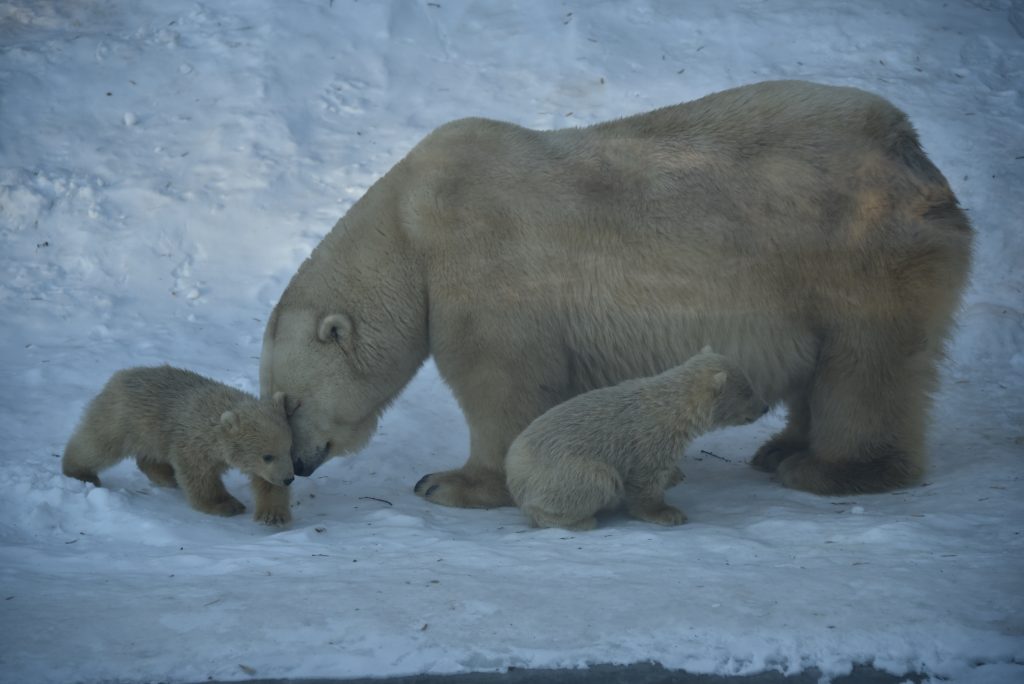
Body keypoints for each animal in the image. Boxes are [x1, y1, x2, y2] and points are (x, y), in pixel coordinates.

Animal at [260, 80, 970, 507]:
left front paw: (452, 482)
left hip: (856, 256)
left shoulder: (486, 262)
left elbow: (501, 381)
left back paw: (832, 469)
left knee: (865, 367)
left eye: (289, 402)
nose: (295, 466)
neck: (411, 226)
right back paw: (783, 449)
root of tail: (913, 156)